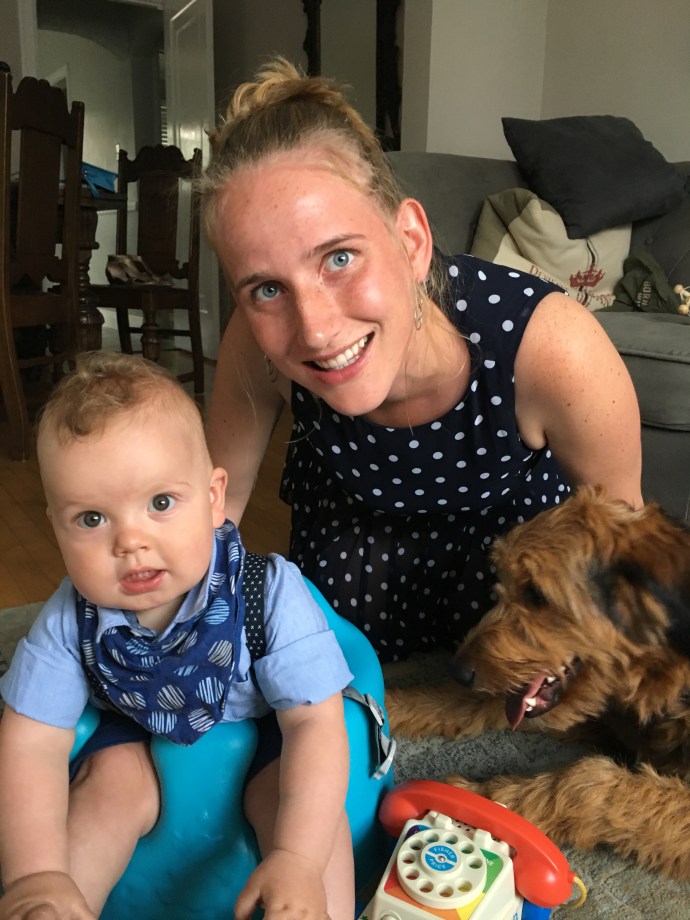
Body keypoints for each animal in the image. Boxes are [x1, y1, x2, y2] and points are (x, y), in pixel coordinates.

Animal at [385, 486, 690, 879]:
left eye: (537, 595)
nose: (458, 670)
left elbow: (593, 784)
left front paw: (482, 800)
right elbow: (469, 701)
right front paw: (386, 702)